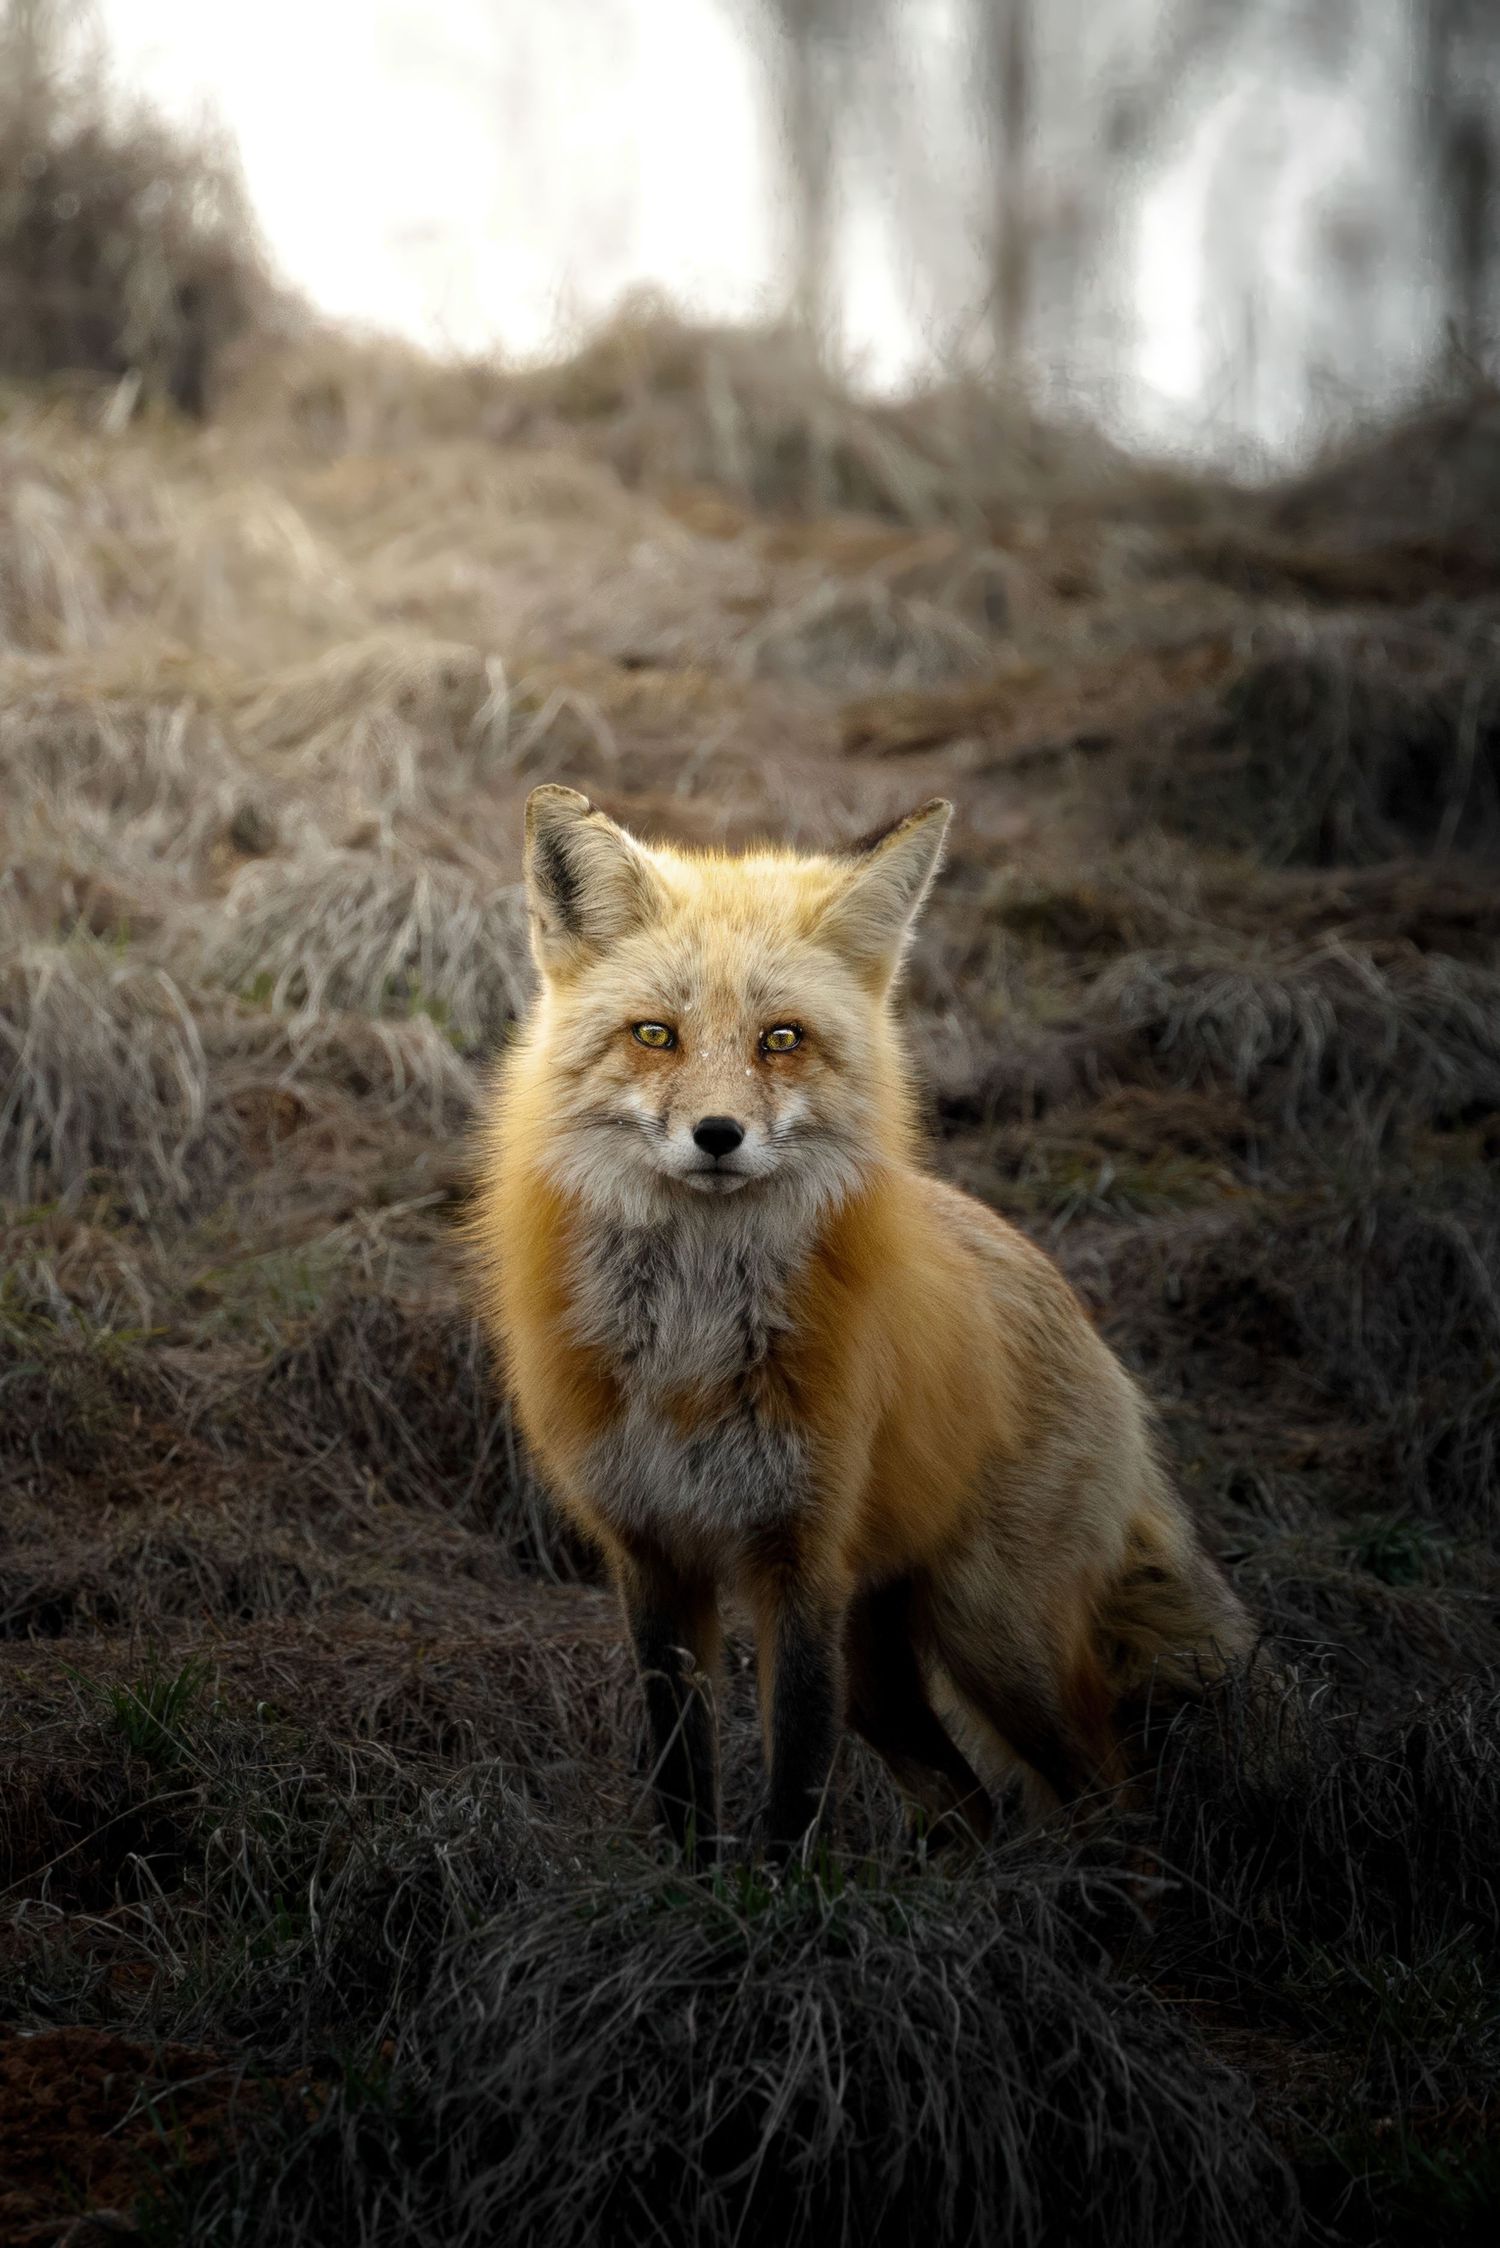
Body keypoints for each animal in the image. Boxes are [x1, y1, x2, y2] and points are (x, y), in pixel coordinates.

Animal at [467, 785, 1254, 1862]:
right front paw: (692, 1888)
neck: (690, 1346)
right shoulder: (654, 1555)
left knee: (1110, 1790)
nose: (718, 1136)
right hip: (886, 1675)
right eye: (656, 1035)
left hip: (997, 1641)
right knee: (974, 1803)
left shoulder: (805, 1558)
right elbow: (682, 1776)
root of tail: (1079, 1313)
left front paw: (777, 1897)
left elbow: (793, 1787)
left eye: (782, 1039)